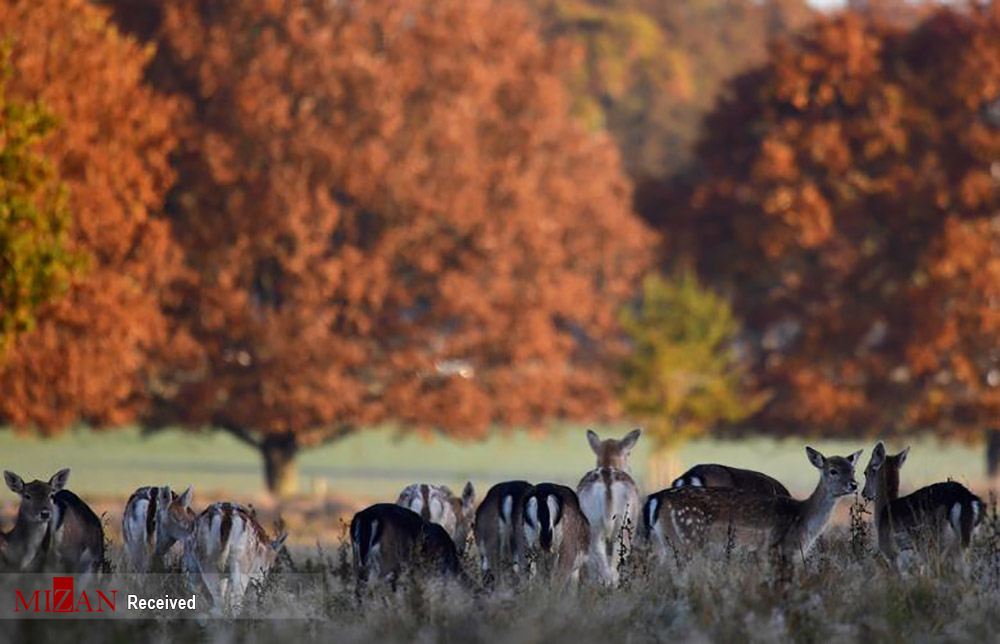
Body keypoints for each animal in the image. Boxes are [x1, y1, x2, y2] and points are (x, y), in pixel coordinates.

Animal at [580, 428, 640, 584]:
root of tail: (607, 482)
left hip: (594, 524)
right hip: (624, 525)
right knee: (611, 568)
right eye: (629, 453)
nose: (630, 469)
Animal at [644, 448, 864, 564]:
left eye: (853, 469)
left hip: (663, 543)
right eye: (833, 471)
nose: (853, 485)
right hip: (688, 540)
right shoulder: (779, 549)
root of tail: (657, 498)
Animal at [860, 440, 984, 572]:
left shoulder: (893, 553)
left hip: (935, 541)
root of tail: (964, 498)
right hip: (965, 543)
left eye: (865, 472)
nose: (864, 493)